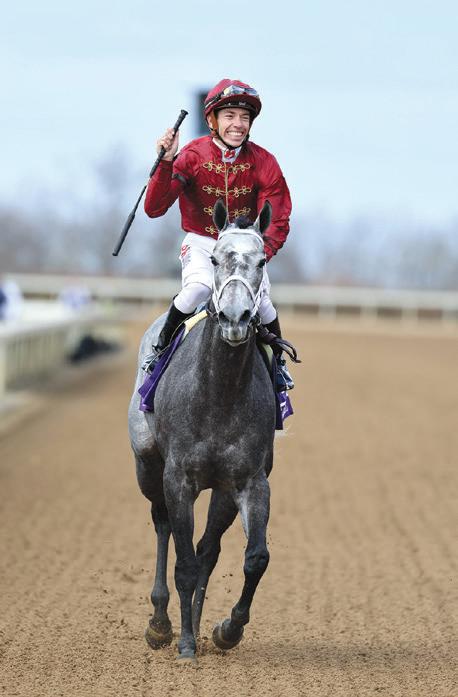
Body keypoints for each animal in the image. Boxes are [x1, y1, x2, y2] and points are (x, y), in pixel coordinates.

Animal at [128, 199, 276, 663]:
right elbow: (183, 561)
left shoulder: (248, 481)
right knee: (162, 526)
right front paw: (185, 644)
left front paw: (227, 629)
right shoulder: (178, 477)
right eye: (215, 259)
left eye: (262, 261)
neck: (220, 394)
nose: (235, 317)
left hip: (222, 491)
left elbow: (254, 558)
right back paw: (161, 623)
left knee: (208, 549)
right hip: (148, 466)